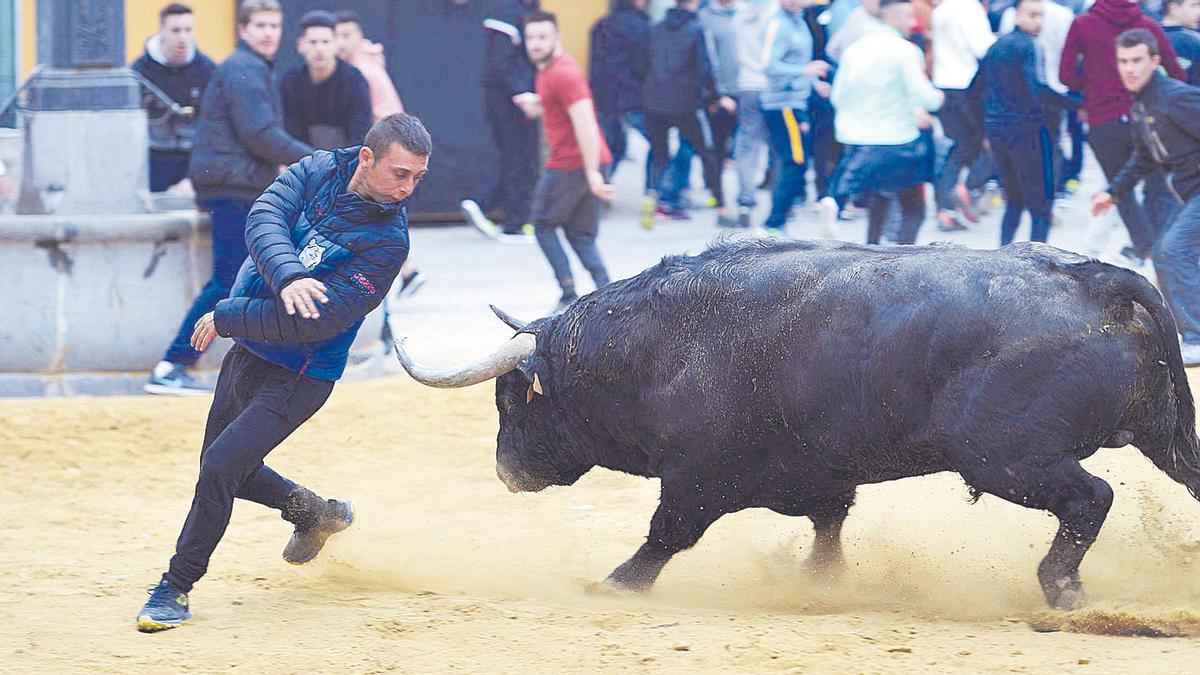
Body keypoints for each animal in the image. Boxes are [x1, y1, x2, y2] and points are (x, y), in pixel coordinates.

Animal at [396, 239, 1200, 607]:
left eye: (512, 399)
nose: (506, 470)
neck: (657, 346)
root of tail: (1095, 279)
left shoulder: (695, 480)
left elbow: (665, 535)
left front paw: (616, 583)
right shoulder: (820, 475)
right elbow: (829, 527)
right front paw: (822, 582)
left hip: (1005, 459)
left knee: (1091, 499)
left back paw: (1060, 587)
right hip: (1161, 439)